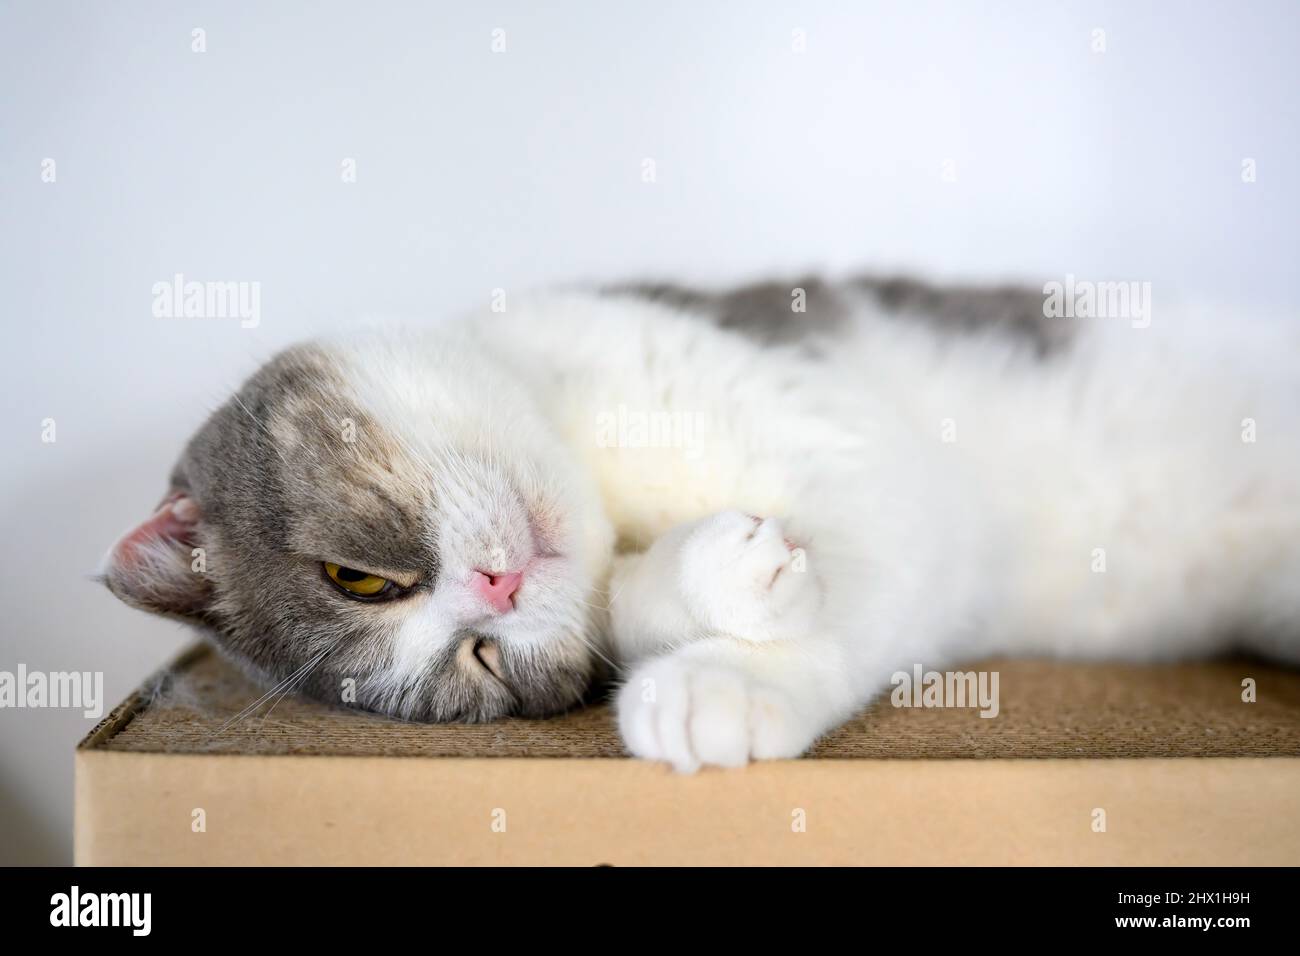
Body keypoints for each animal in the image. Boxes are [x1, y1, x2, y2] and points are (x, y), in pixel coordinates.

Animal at [101, 274, 1300, 770]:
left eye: (359, 578)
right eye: (482, 664)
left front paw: (723, 678)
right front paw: (707, 609)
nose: (494, 593)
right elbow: (632, 603)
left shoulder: (873, 463)